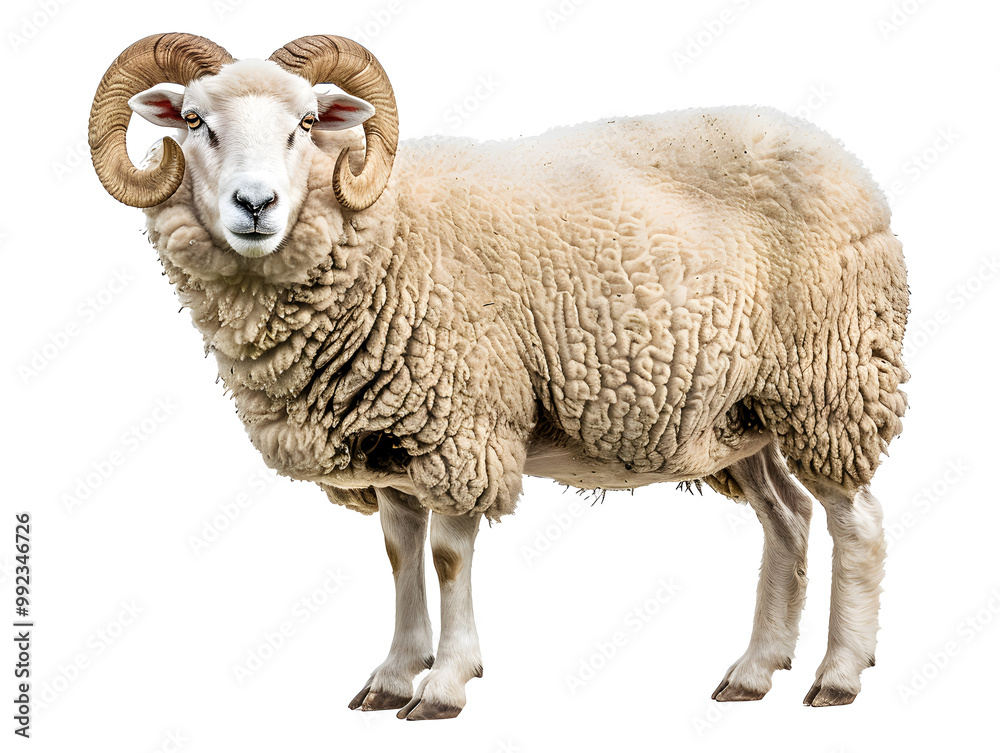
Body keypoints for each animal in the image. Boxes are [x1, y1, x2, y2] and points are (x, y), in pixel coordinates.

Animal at [89, 32, 909, 718]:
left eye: (306, 123)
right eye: (194, 121)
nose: (254, 204)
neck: (384, 230)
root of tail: (848, 160)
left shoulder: (462, 424)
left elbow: (449, 556)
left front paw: (445, 684)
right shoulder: (390, 434)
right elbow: (399, 554)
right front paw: (393, 676)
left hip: (829, 383)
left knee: (856, 521)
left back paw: (838, 675)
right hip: (745, 412)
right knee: (788, 520)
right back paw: (754, 670)